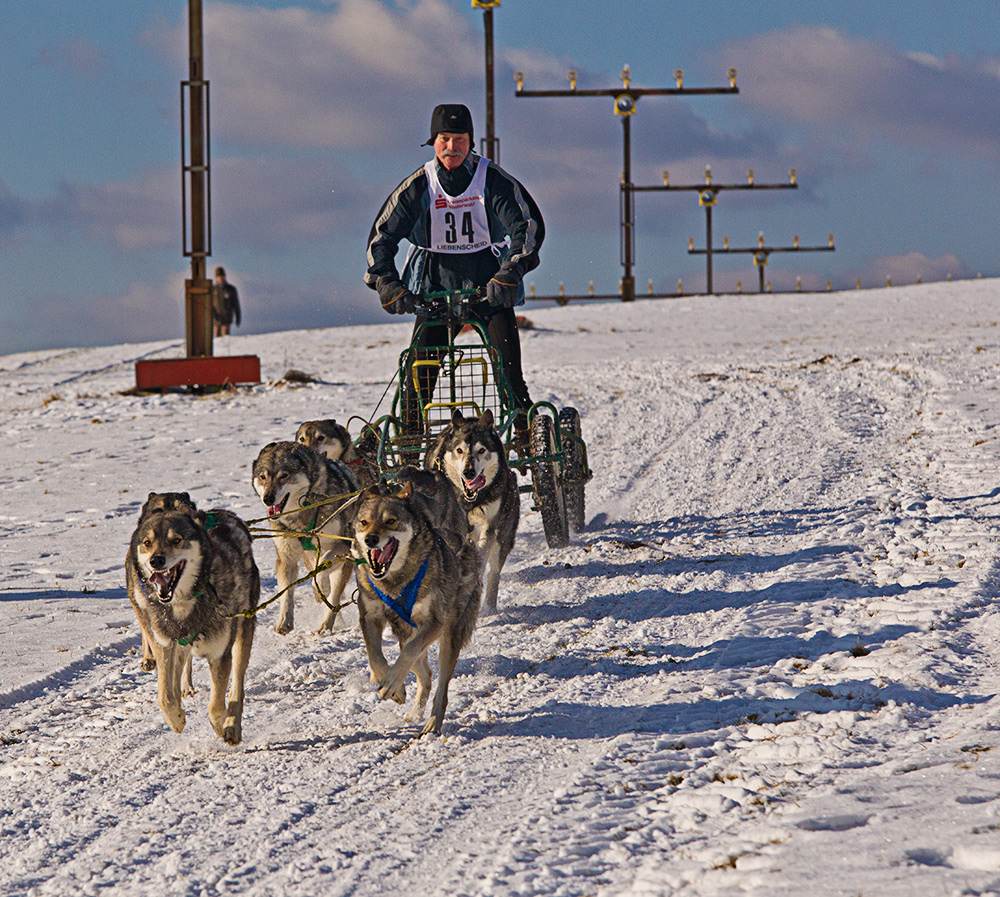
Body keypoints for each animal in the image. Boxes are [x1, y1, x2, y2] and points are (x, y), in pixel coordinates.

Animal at [124, 504, 258, 744]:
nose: (155, 561)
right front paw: (176, 718)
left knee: (237, 686)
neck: (183, 603)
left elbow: (216, 706)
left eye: (176, 540)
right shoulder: (164, 645)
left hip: (243, 632)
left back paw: (232, 725)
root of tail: (225, 514)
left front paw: (221, 726)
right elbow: (165, 697)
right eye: (147, 542)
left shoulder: (220, 655)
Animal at [250, 440, 360, 632]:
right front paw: (284, 621)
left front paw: (321, 586)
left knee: (334, 597)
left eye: (284, 475)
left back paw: (325, 624)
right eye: (263, 477)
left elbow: (323, 566)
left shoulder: (342, 546)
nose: (268, 498)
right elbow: (287, 591)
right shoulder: (286, 558)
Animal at [354, 480, 482, 732]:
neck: (394, 581)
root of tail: (462, 542)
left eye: (390, 521)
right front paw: (392, 685)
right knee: (426, 674)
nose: (370, 539)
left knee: (440, 685)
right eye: (364, 522)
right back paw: (414, 712)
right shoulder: (369, 617)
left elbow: (408, 654)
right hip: (406, 635)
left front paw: (391, 683)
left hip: (448, 637)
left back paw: (433, 723)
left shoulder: (433, 623)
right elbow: (375, 655)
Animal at [426, 410, 520, 612]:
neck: (467, 500)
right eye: (459, 450)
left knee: (494, 572)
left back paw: (489, 608)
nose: (468, 472)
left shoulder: (489, 526)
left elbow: (482, 554)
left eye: (482, 450)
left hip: (503, 536)